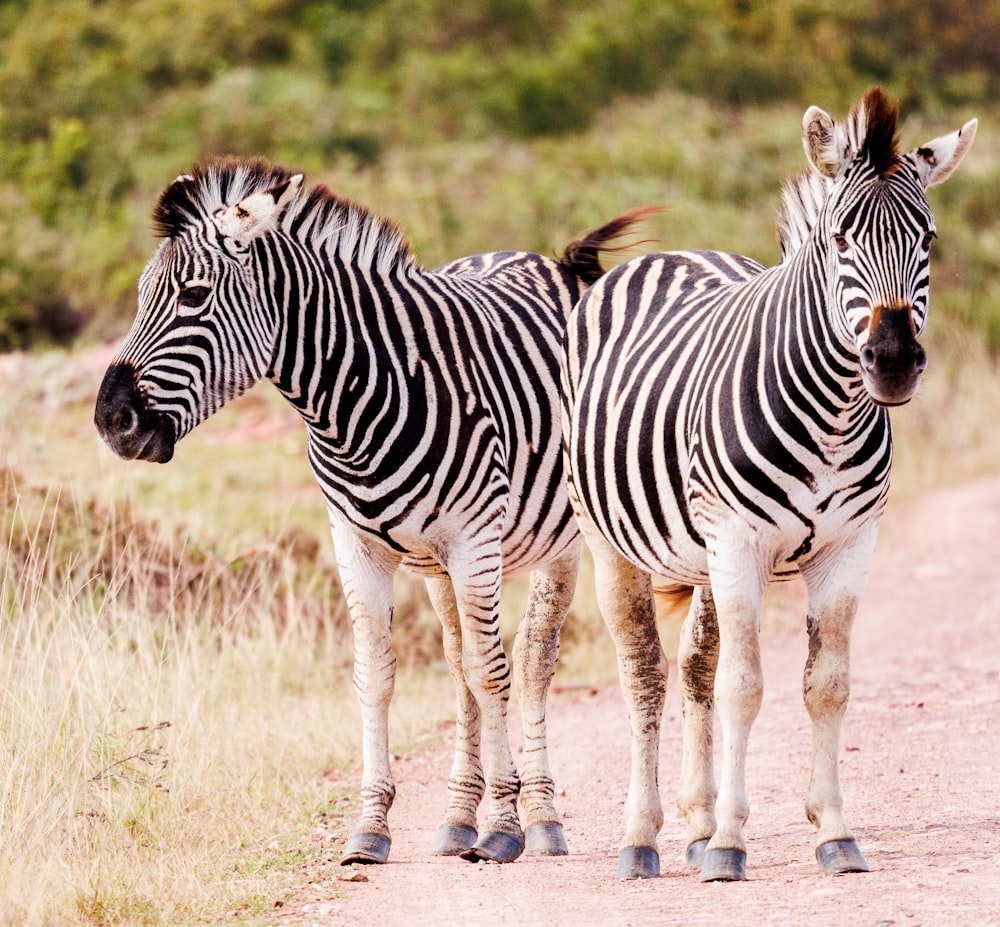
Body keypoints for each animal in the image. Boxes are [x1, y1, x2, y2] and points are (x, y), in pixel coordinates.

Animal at [90, 156, 644, 868]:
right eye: (139, 296)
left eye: (194, 296)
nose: (111, 422)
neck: (358, 401)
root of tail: (548, 261)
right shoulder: (356, 544)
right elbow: (377, 676)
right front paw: (372, 826)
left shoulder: (474, 541)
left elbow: (492, 673)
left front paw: (504, 825)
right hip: (437, 566)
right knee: (457, 660)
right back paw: (457, 819)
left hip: (559, 544)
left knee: (529, 661)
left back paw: (541, 818)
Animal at [564, 89, 976, 884]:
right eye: (840, 239)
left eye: (930, 239)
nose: (892, 362)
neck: (835, 414)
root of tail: (671, 254)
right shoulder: (738, 539)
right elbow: (745, 687)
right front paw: (730, 844)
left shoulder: (850, 547)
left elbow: (826, 684)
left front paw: (834, 832)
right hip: (615, 544)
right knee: (646, 674)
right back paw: (643, 837)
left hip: (699, 554)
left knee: (694, 666)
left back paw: (693, 824)